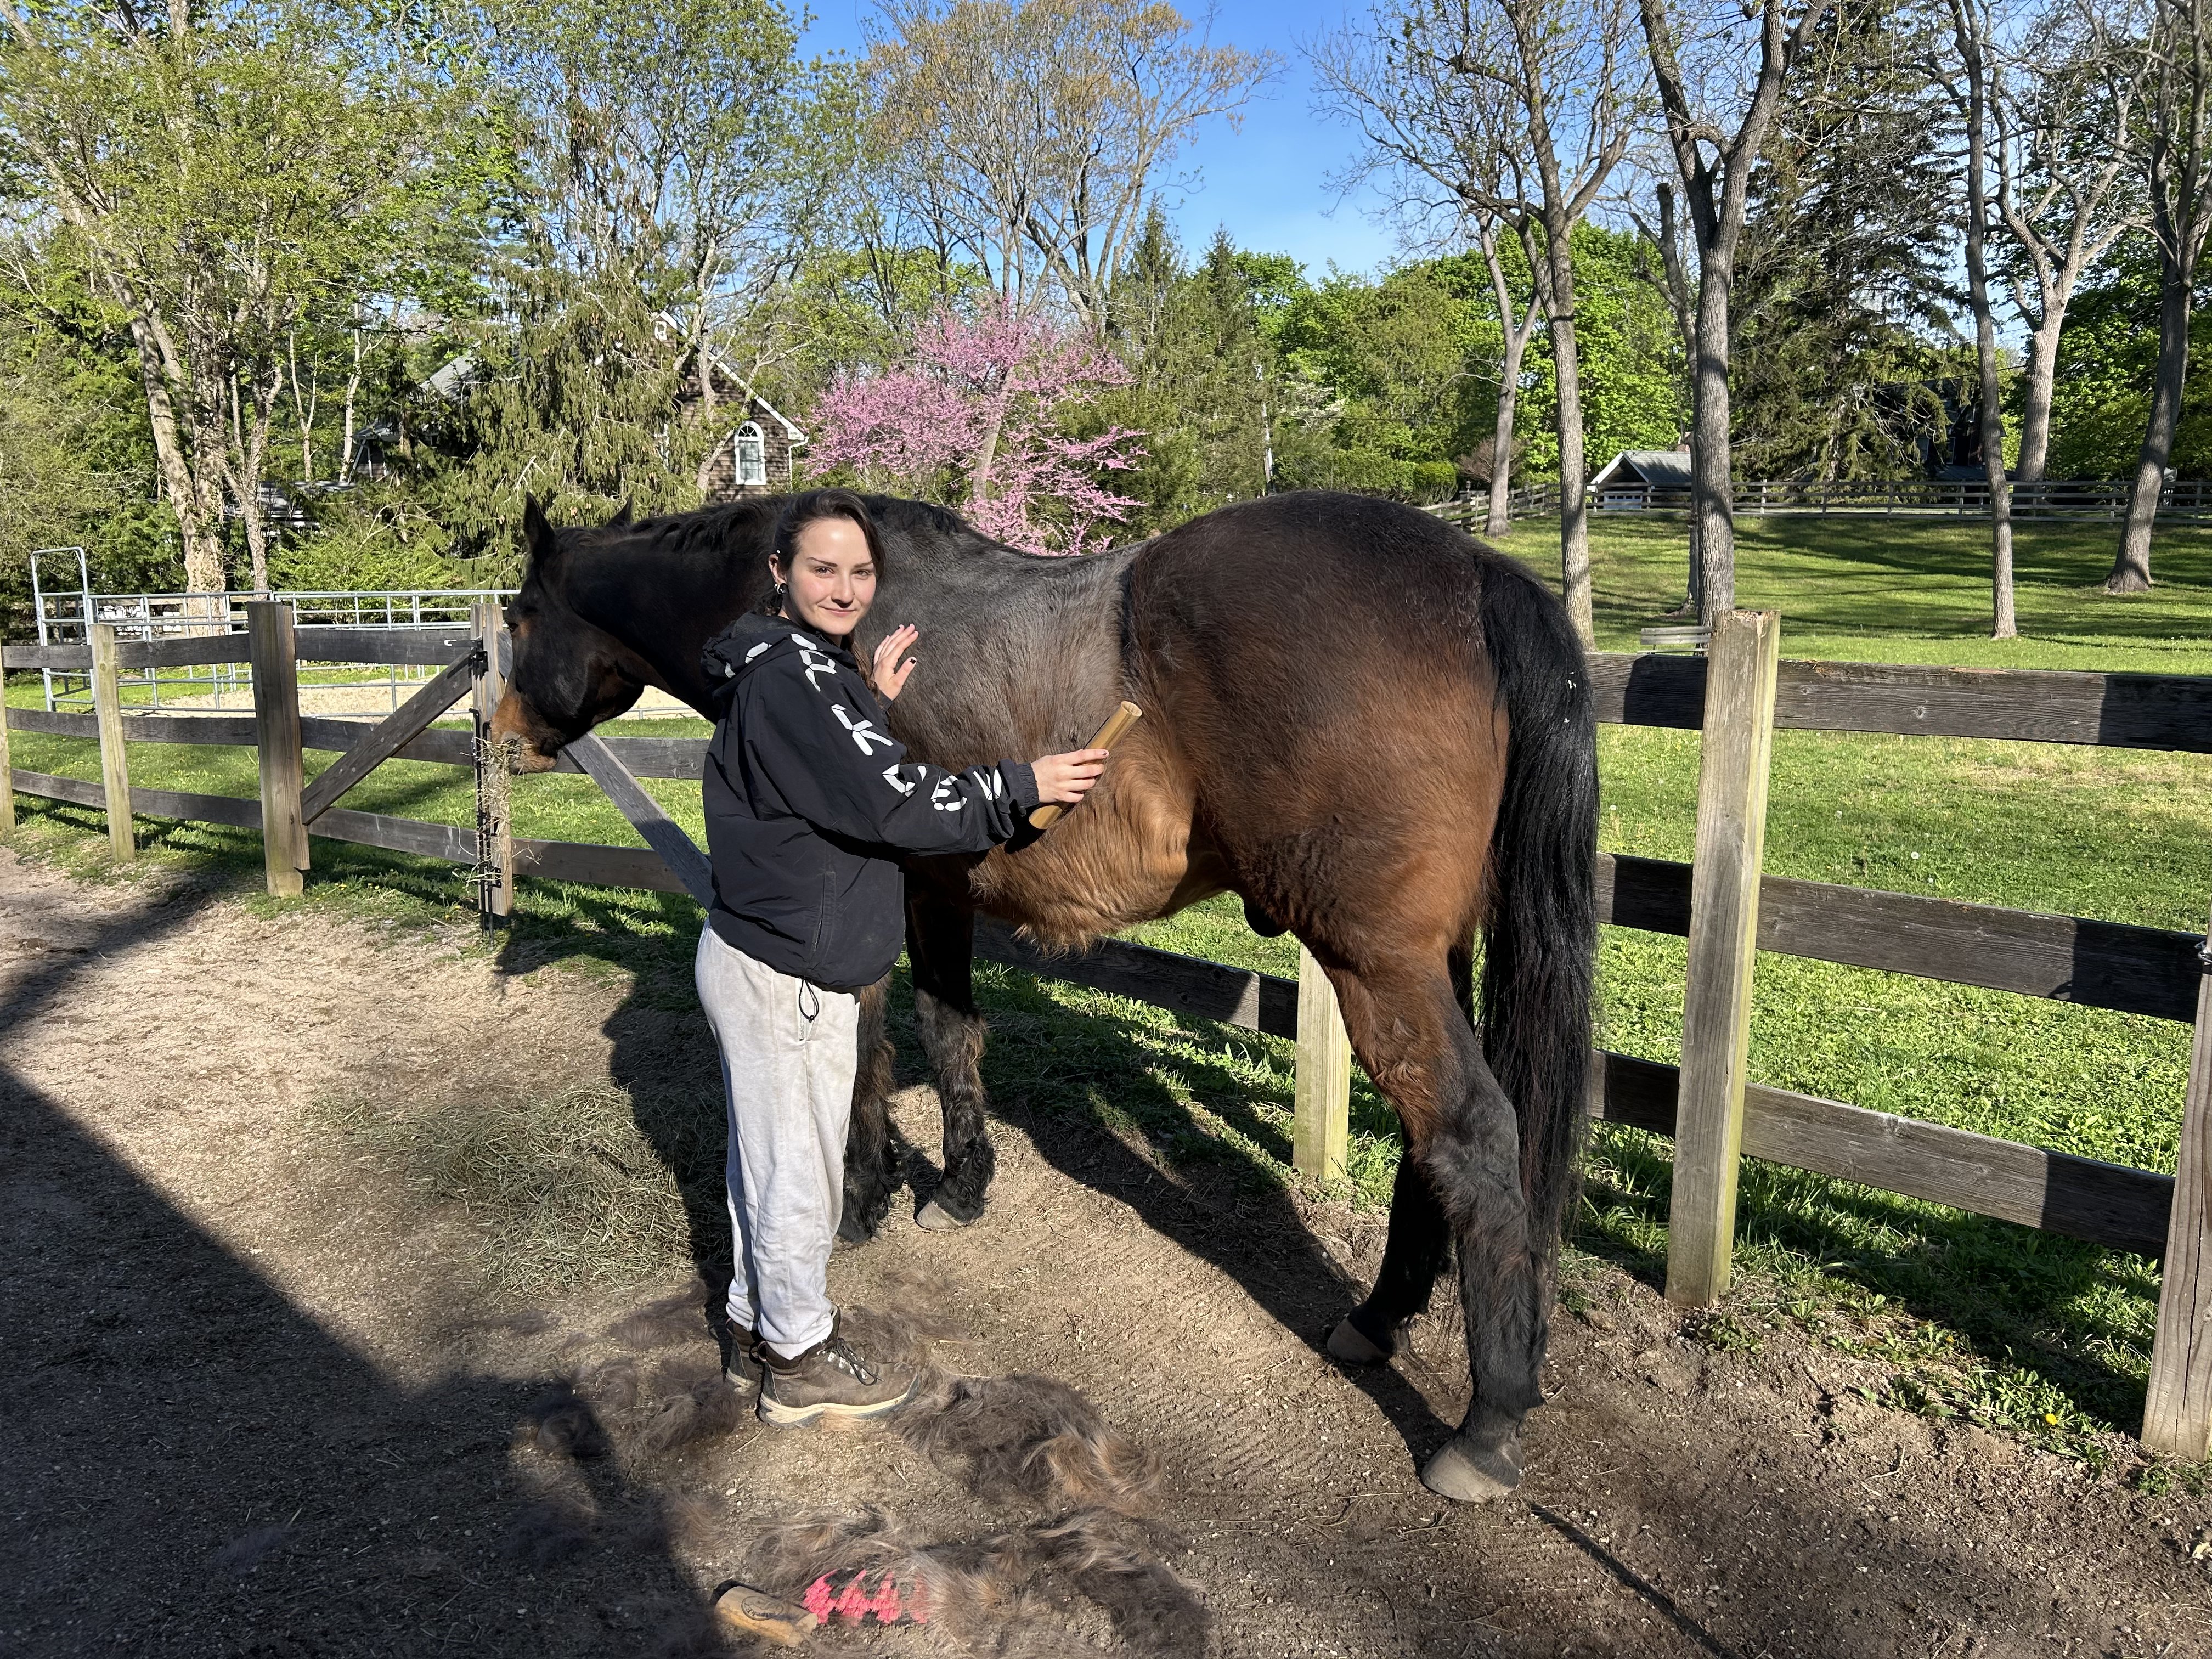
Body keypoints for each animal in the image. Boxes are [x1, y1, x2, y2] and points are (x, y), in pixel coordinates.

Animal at [492, 488, 1596, 1502]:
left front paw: (864, 1196)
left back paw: (1485, 1425)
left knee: (1470, 1136)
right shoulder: (937, 886)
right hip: (1430, 960)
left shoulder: (895, 885)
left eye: (519, 616)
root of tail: (1471, 570)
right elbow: (949, 1029)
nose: (502, 735)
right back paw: (1377, 1318)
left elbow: (872, 1042)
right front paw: (961, 1185)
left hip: (1376, 964)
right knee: (1428, 1146)